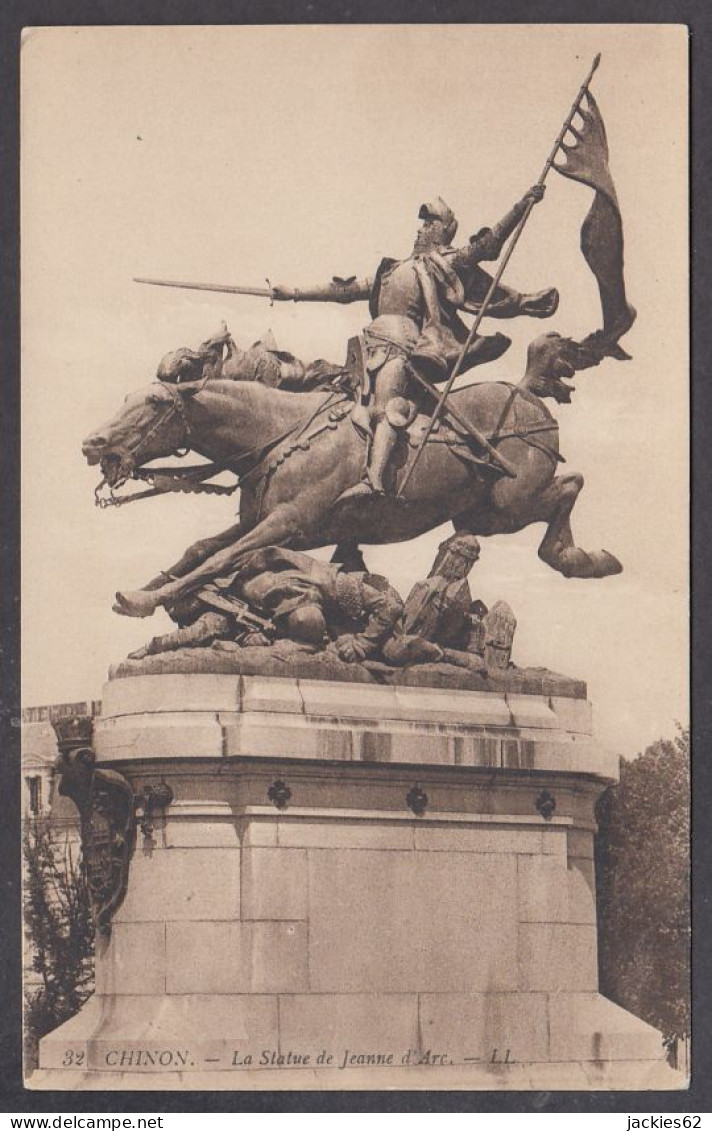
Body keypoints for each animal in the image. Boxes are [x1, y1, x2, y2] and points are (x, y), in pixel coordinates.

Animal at [80, 334, 623, 619]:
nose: (92, 443)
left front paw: (147, 598)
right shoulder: (262, 522)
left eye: (155, 403)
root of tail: (526, 392)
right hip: (483, 513)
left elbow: (221, 559)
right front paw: (146, 588)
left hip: (506, 506)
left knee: (570, 486)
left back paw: (583, 559)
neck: (280, 432)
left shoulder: (288, 524)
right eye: (128, 397)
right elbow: (199, 550)